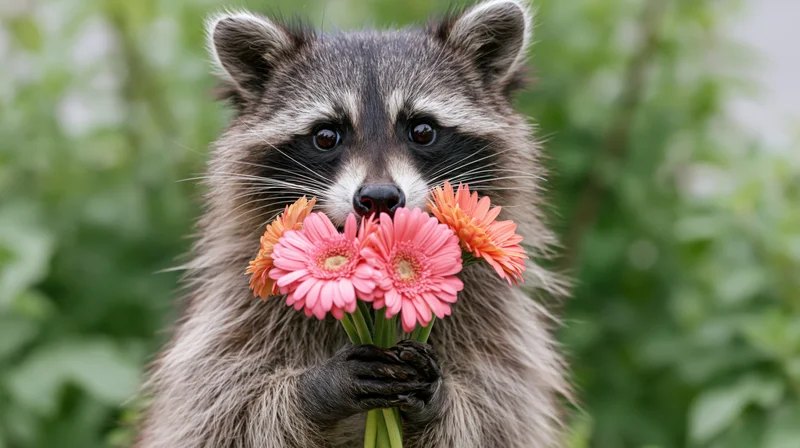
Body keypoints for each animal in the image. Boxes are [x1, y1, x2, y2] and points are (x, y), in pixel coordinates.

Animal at [136, 1, 569, 447]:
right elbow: (219, 411)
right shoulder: (229, 315)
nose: (379, 198)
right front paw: (315, 390)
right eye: (327, 135)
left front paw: (440, 399)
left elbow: (499, 414)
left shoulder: (496, 324)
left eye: (422, 130)